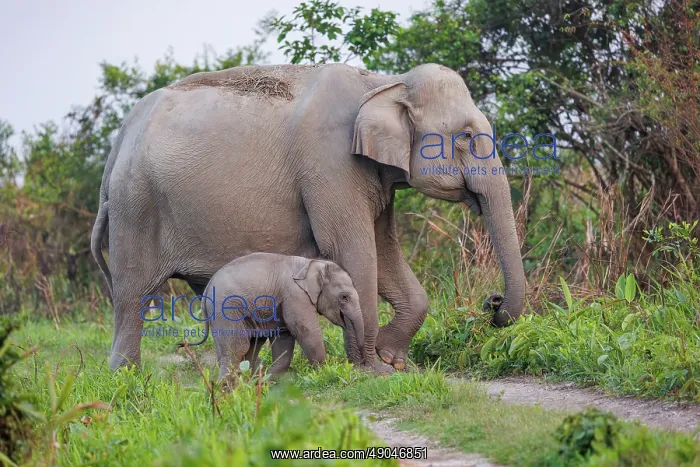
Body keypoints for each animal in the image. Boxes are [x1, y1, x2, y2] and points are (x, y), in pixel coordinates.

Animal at [179, 253, 364, 380]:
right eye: (344, 297)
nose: (360, 363)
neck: (310, 263)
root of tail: (207, 289)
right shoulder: (295, 296)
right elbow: (305, 330)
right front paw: (324, 371)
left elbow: (284, 335)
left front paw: (271, 378)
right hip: (227, 310)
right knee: (237, 348)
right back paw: (228, 388)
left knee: (250, 346)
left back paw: (247, 382)